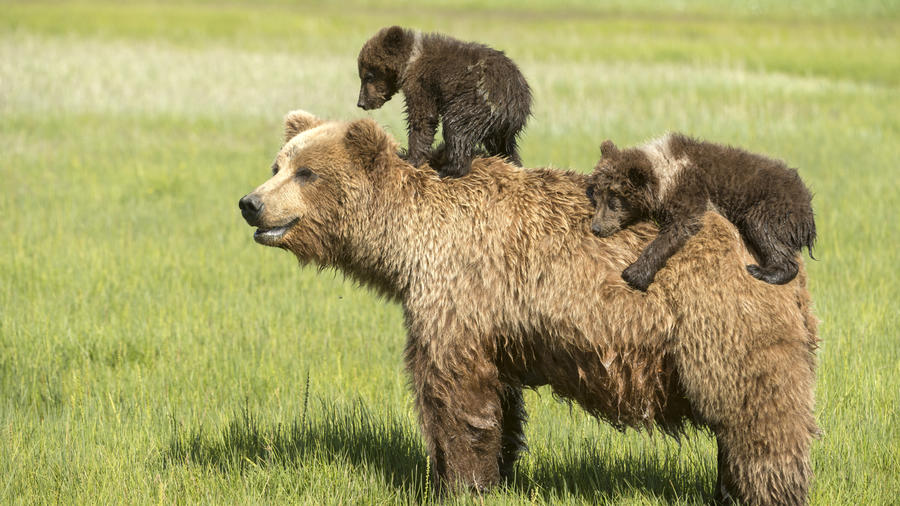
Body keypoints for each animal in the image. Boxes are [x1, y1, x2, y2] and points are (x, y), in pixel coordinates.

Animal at [356, 27, 532, 180]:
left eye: (368, 76)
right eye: (362, 75)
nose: (361, 103)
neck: (410, 62)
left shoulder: (422, 83)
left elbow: (423, 118)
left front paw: (411, 158)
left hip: (475, 102)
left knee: (456, 130)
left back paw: (449, 170)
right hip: (501, 126)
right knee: (504, 146)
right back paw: (512, 163)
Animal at [588, 134, 820, 292]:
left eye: (614, 201)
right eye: (597, 196)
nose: (596, 228)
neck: (664, 176)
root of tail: (807, 206)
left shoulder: (689, 188)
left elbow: (679, 227)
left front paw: (634, 273)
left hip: (775, 206)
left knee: (764, 230)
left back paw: (762, 271)